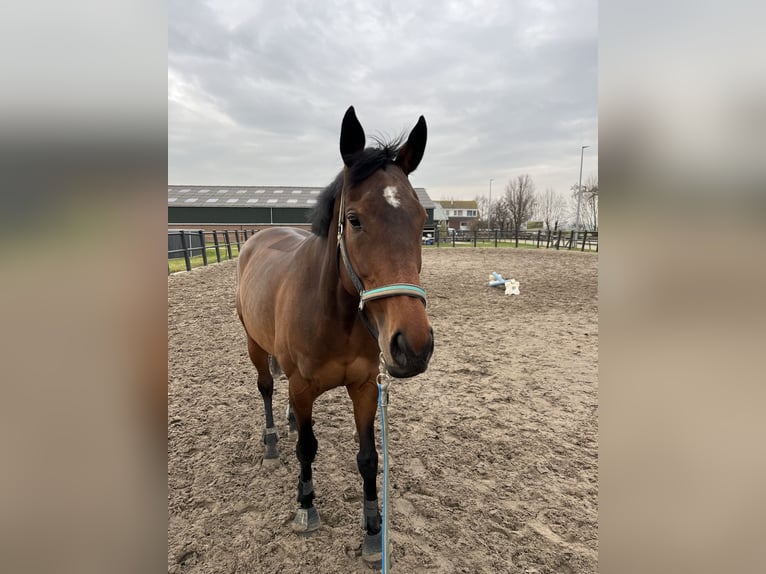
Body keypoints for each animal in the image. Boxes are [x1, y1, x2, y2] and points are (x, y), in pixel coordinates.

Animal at [235, 106, 434, 562]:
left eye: (421, 221)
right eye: (354, 219)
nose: (413, 346)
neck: (334, 318)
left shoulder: (363, 387)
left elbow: (368, 457)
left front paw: (373, 530)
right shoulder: (303, 386)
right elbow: (308, 449)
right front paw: (306, 506)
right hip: (255, 346)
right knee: (267, 388)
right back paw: (272, 441)